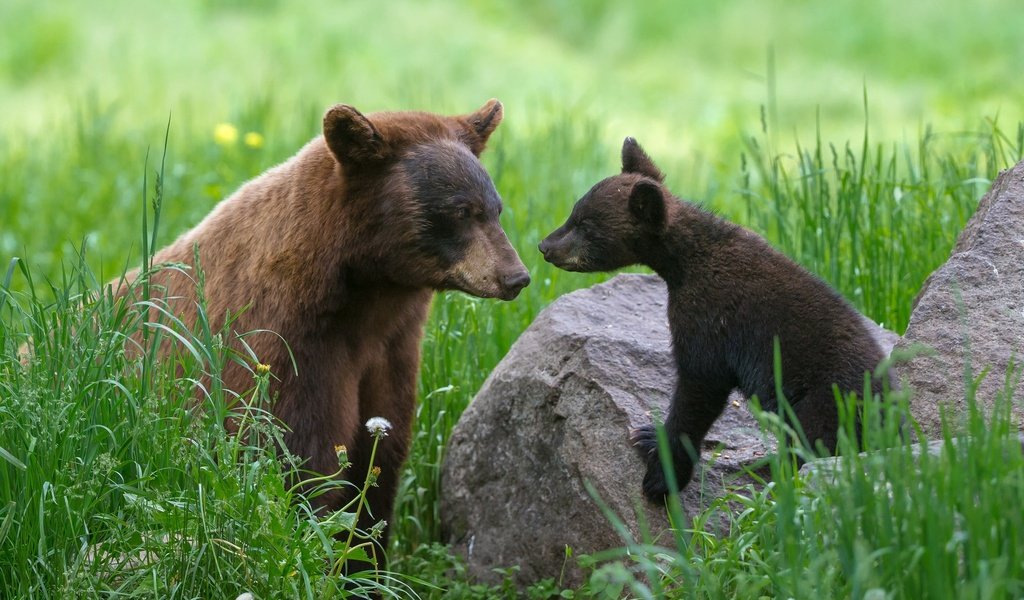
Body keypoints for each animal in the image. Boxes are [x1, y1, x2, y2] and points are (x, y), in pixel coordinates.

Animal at [124, 99, 532, 552]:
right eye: (462, 211)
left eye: (495, 208)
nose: (516, 277)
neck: (364, 300)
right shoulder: (287, 350)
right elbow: (299, 462)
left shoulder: (391, 351)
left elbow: (378, 467)